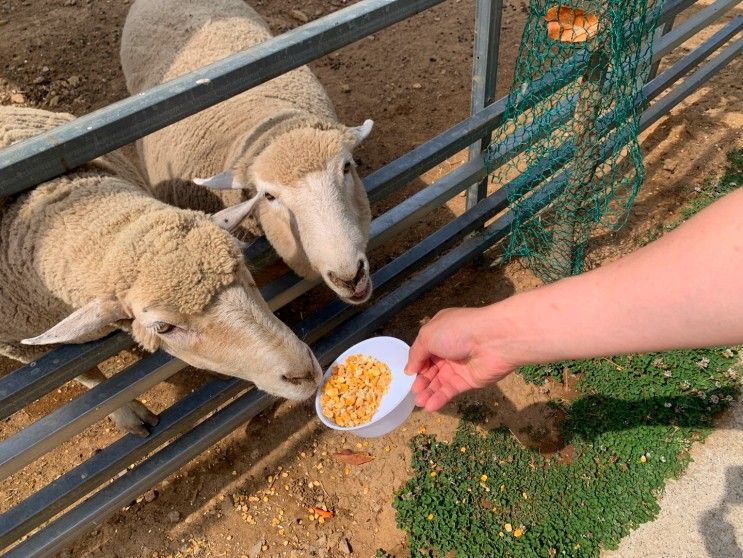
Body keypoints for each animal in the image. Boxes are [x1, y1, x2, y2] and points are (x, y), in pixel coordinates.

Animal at [0, 105, 322, 438]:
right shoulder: (19, 347)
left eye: (243, 266)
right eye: (163, 328)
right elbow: (89, 378)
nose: (303, 373)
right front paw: (128, 414)